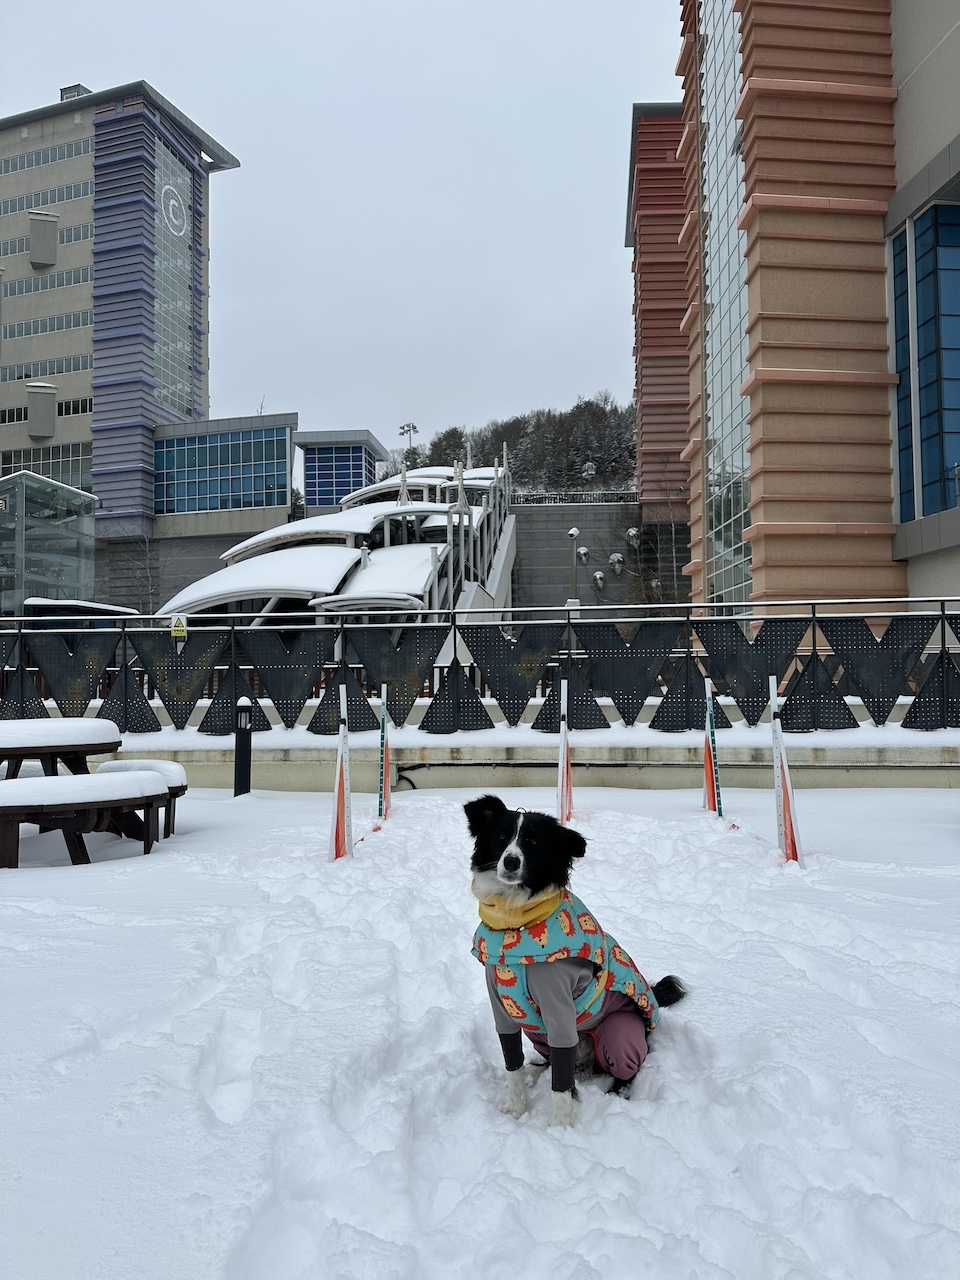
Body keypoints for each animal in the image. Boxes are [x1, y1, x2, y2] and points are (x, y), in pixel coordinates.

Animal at [465, 793, 686, 1126]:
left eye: (533, 841)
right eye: (502, 837)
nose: (511, 861)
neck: (516, 923)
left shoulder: (559, 1009)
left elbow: (561, 1085)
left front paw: (559, 1128)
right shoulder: (504, 1007)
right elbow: (512, 1063)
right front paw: (517, 1108)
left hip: (622, 1038)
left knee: (624, 1068)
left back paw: (616, 1094)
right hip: (537, 1030)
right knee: (551, 1061)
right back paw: (535, 1071)